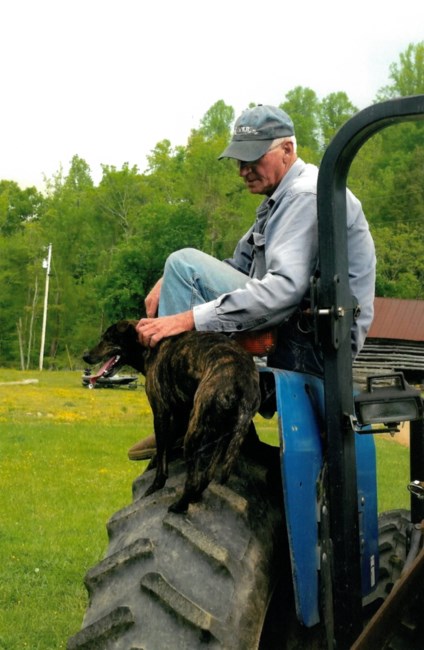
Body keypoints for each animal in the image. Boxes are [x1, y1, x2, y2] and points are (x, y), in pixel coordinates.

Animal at [82, 320, 260, 512]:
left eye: (107, 338)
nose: (85, 355)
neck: (149, 347)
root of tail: (243, 382)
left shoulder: (161, 414)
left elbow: (162, 459)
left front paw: (152, 490)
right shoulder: (178, 418)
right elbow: (161, 453)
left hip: (193, 435)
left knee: (193, 479)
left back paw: (179, 506)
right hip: (223, 437)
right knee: (207, 475)